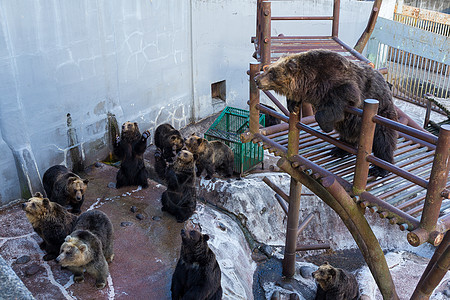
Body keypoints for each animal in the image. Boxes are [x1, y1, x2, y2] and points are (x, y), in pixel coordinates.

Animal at [255, 48, 400, 177]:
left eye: (271, 72)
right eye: (267, 69)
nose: (257, 79)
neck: (310, 81)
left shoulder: (337, 82)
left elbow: (339, 101)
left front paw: (326, 126)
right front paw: (292, 105)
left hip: (381, 113)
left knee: (383, 140)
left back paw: (380, 168)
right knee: (348, 135)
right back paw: (339, 149)